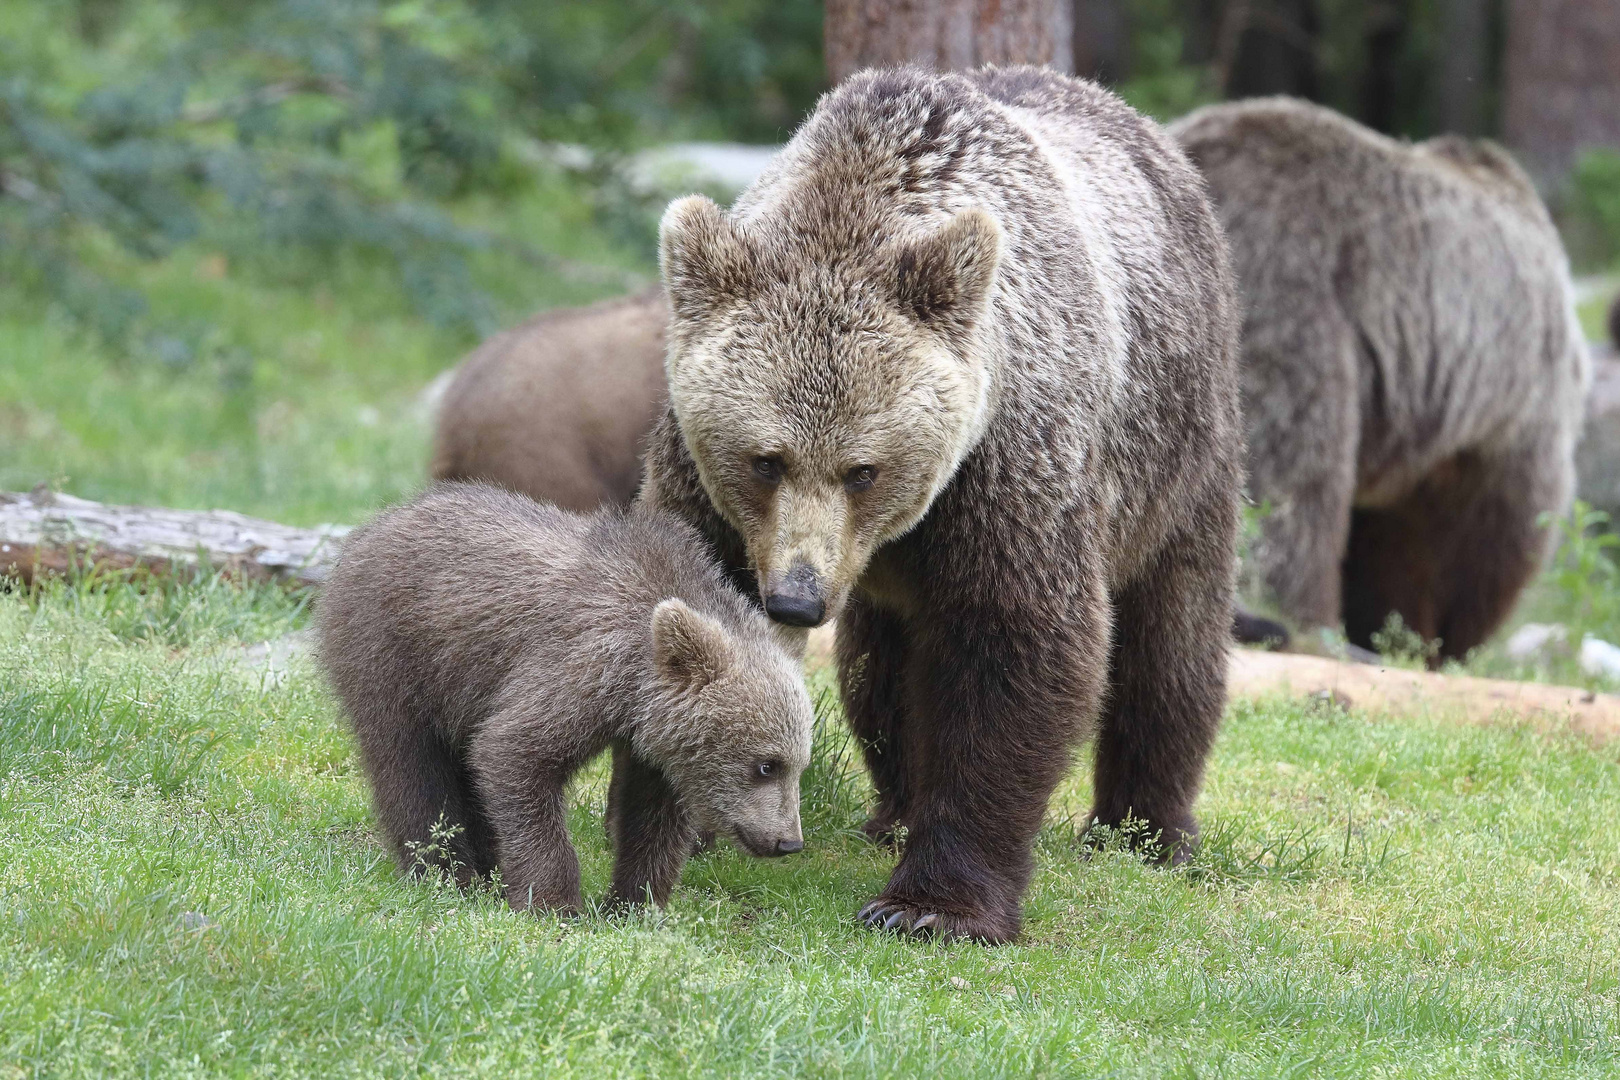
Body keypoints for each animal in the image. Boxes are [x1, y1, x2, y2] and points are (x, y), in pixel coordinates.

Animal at [635, 69, 1237, 945]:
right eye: (764, 459)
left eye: (863, 469)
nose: (796, 597)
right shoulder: (705, 489)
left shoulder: (1011, 466)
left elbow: (1015, 645)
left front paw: (932, 905)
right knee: (879, 671)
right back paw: (893, 809)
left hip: (1179, 445)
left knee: (1173, 638)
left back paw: (1145, 829)